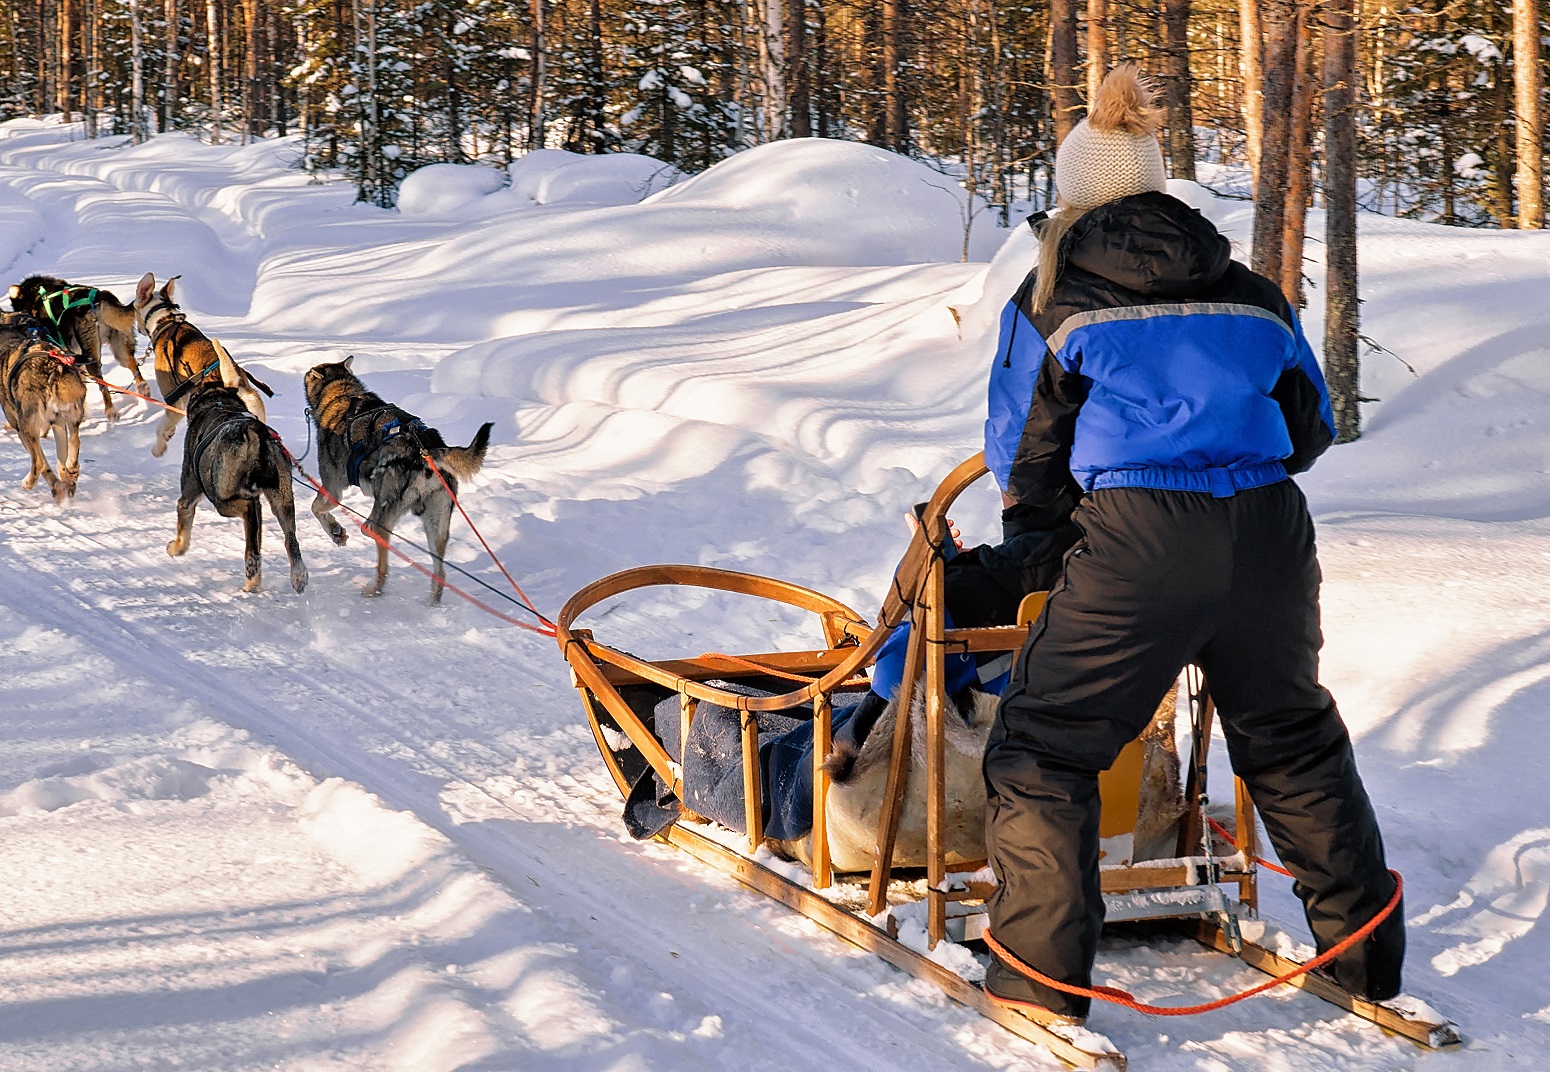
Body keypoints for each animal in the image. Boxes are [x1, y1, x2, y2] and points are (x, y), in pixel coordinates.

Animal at [0, 311, 87, 501]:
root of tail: (53, 368)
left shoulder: (22, 429)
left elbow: (42, 462)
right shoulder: (57, 422)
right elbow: (60, 459)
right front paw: (64, 480)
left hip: (27, 427)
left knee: (39, 462)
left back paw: (30, 482)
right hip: (69, 416)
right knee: (74, 441)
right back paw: (71, 472)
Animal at [8, 274, 149, 421]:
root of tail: (97, 299)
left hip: (92, 357)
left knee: (103, 385)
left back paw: (111, 411)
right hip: (119, 347)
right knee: (132, 364)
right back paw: (142, 386)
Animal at [133, 272, 269, 455]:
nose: (138, 329)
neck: (165, 320)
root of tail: (234, 381)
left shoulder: (173, 400)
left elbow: (161, 428)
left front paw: (159, 446)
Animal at [170, 339, 308, 594]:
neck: (218, 399)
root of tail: (253, 431)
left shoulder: (188, 496)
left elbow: (183, 525)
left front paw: (175, 547)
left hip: (220, 497)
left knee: (249, 508)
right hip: (282, 498)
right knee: (288, 537)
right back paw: (293, 575)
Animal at [305, 353, 492, 597]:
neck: (342, 393)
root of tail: (426, 451)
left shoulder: (332, 489)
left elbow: (316, 508)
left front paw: (336, 531)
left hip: (384, 513)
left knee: (379, 550)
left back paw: (374, 587)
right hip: (436, 526)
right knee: (440, 574)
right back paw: (431, 600)